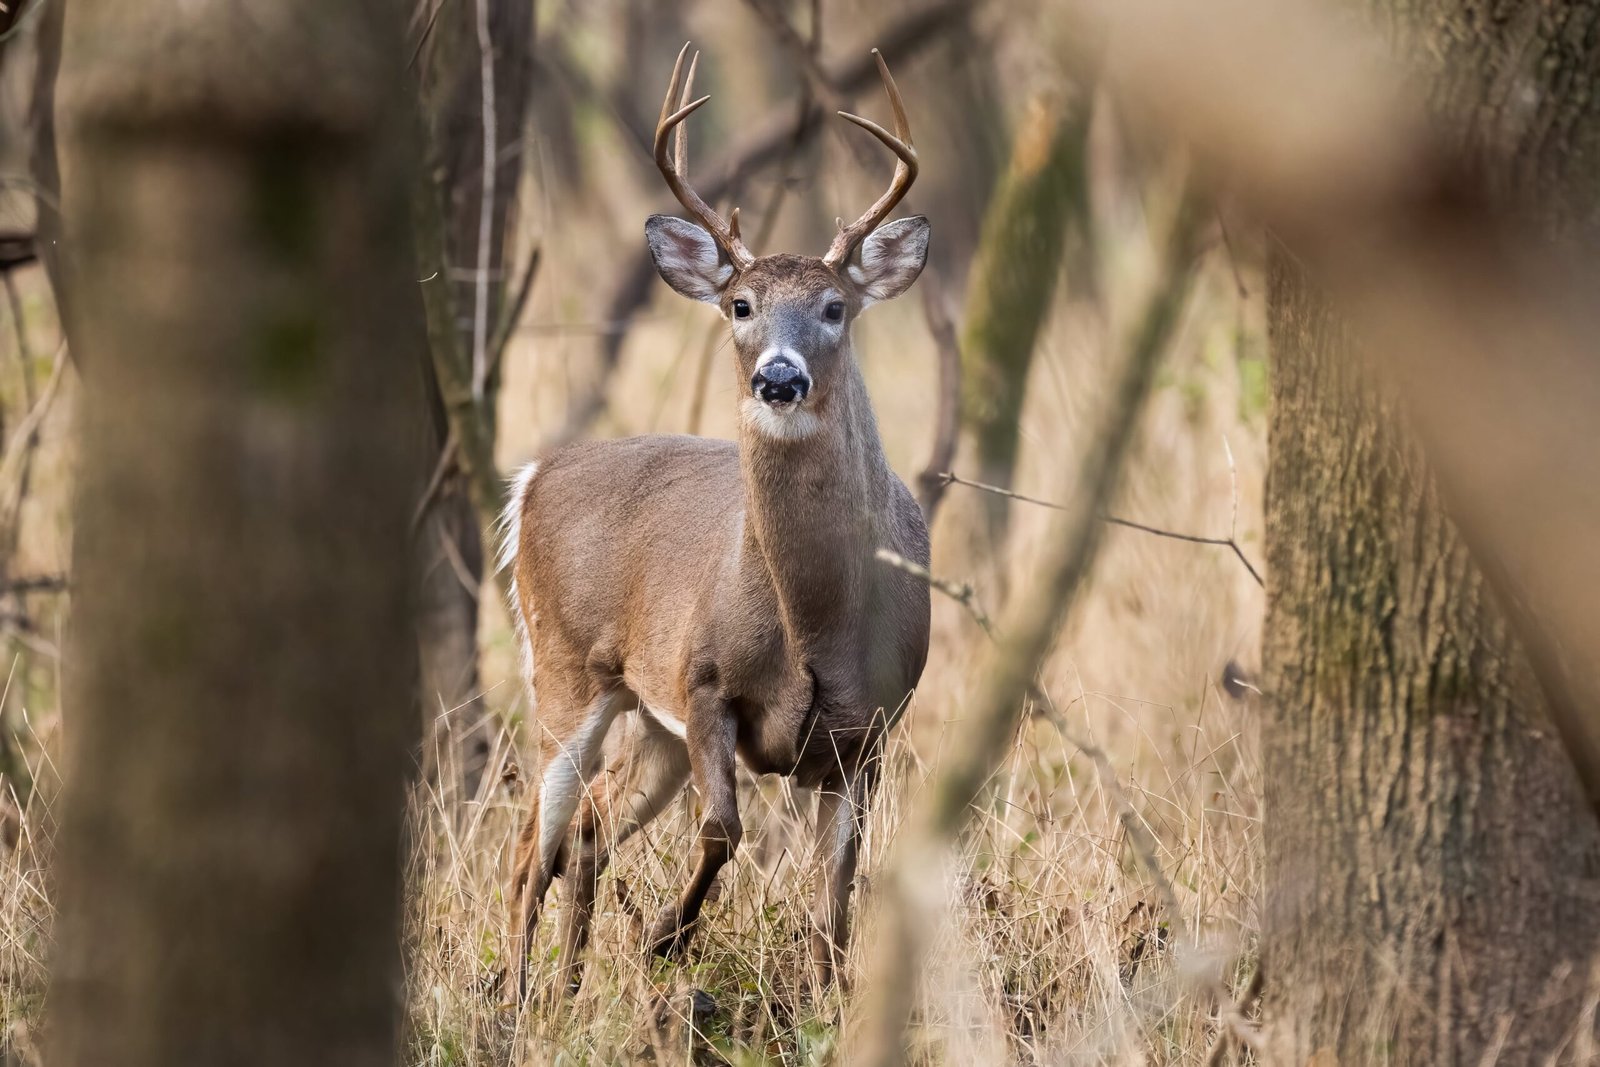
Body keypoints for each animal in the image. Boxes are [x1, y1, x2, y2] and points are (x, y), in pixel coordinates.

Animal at [505, 45, 934, 998]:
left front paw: (826, 999)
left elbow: (837, 892)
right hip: (566, 668)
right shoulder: (702, 682)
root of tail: (531, 477)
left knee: (585, 832)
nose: (779, 377)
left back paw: (564, 989)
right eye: (741, 305)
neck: (814, 623)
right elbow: (724, 830)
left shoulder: (872, 729)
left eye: (835, 307)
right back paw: (511, 1000)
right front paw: (667, 936)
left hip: (644, 717)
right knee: (532, 843)